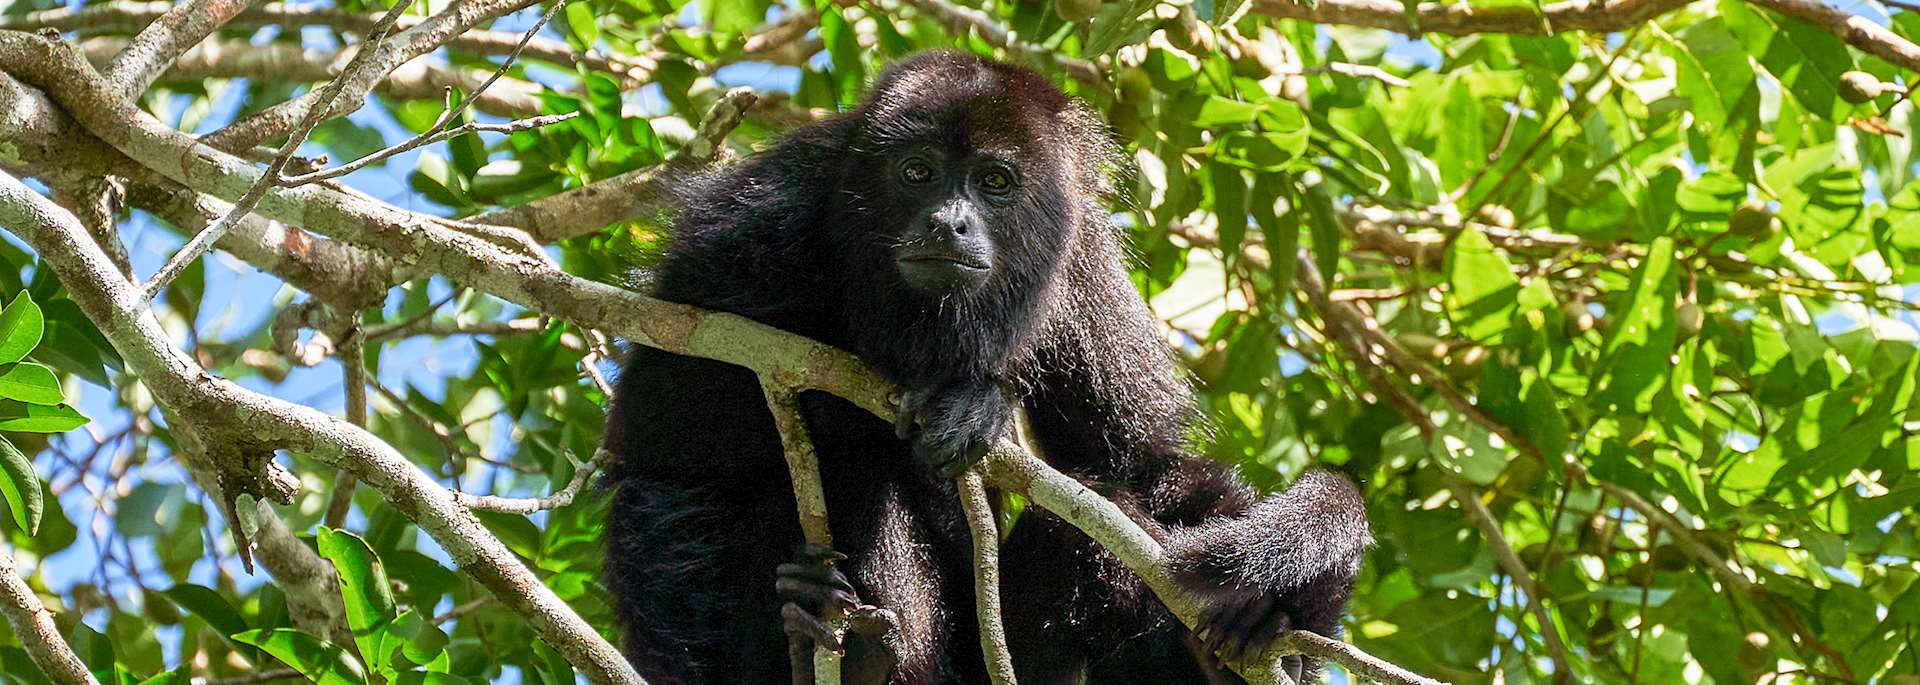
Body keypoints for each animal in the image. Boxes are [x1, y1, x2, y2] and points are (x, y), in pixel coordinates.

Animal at [600, 51, 1372, 685]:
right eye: (917, 172)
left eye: (995, 181)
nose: (949, 222)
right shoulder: (754, 227)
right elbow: (666, 437)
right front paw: (965, 399)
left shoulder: (1081, 262)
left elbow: (1142, 463)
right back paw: (836, 644)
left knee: (1098, 521)